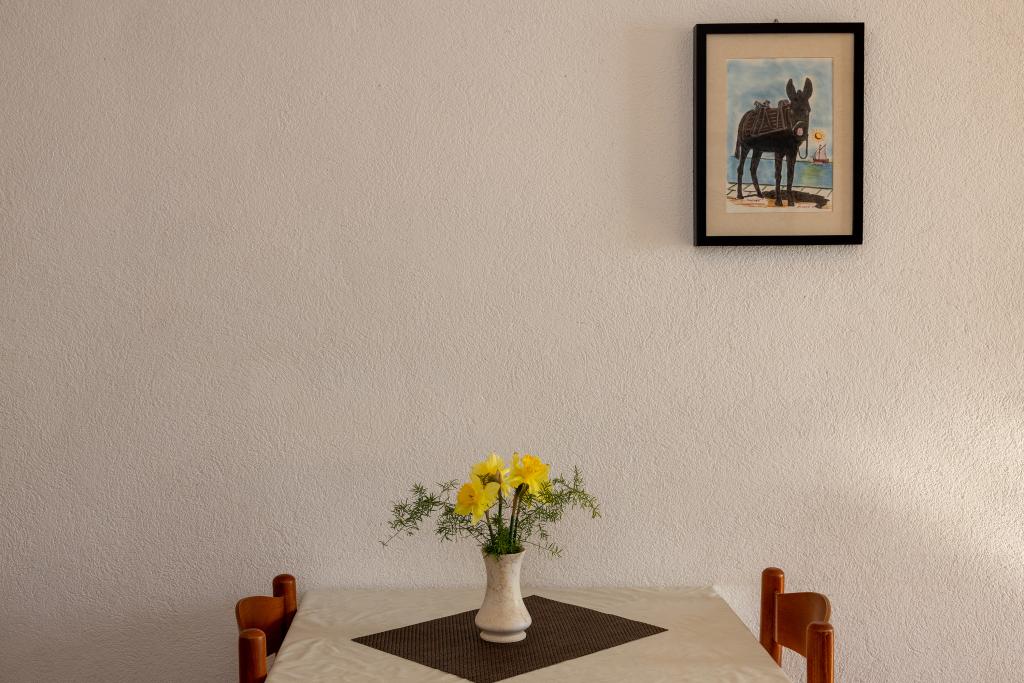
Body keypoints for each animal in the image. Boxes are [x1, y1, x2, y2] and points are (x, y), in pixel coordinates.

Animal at [734, 78, 812, 207]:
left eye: (807, 111)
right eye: (791, 111)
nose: (800, 130)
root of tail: (745, 116)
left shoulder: (792, 153)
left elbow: (790, 176)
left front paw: (791, 202)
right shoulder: (779, 152)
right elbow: (778, 175)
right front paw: (779, 202)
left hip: (758, 149)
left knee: (753, 169)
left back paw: (760, 194)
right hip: (745, 147)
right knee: (740, 169)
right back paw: (740, 195)